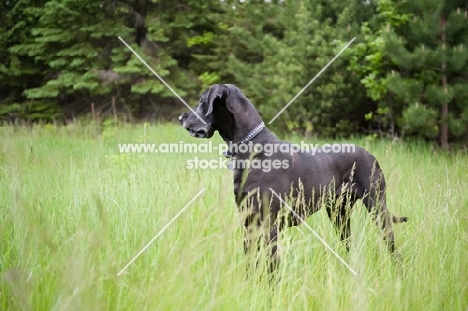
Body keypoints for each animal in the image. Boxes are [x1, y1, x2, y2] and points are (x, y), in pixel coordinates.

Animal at [177, 84, 408, 272]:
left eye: (202, 101)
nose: (181, 118)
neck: (252, 149)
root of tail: (371, 155)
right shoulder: (249, 222)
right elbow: (250, 263)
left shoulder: (269, 225)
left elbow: (271, 269)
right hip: (339, 214)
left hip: (377, 207)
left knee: (392, 247)